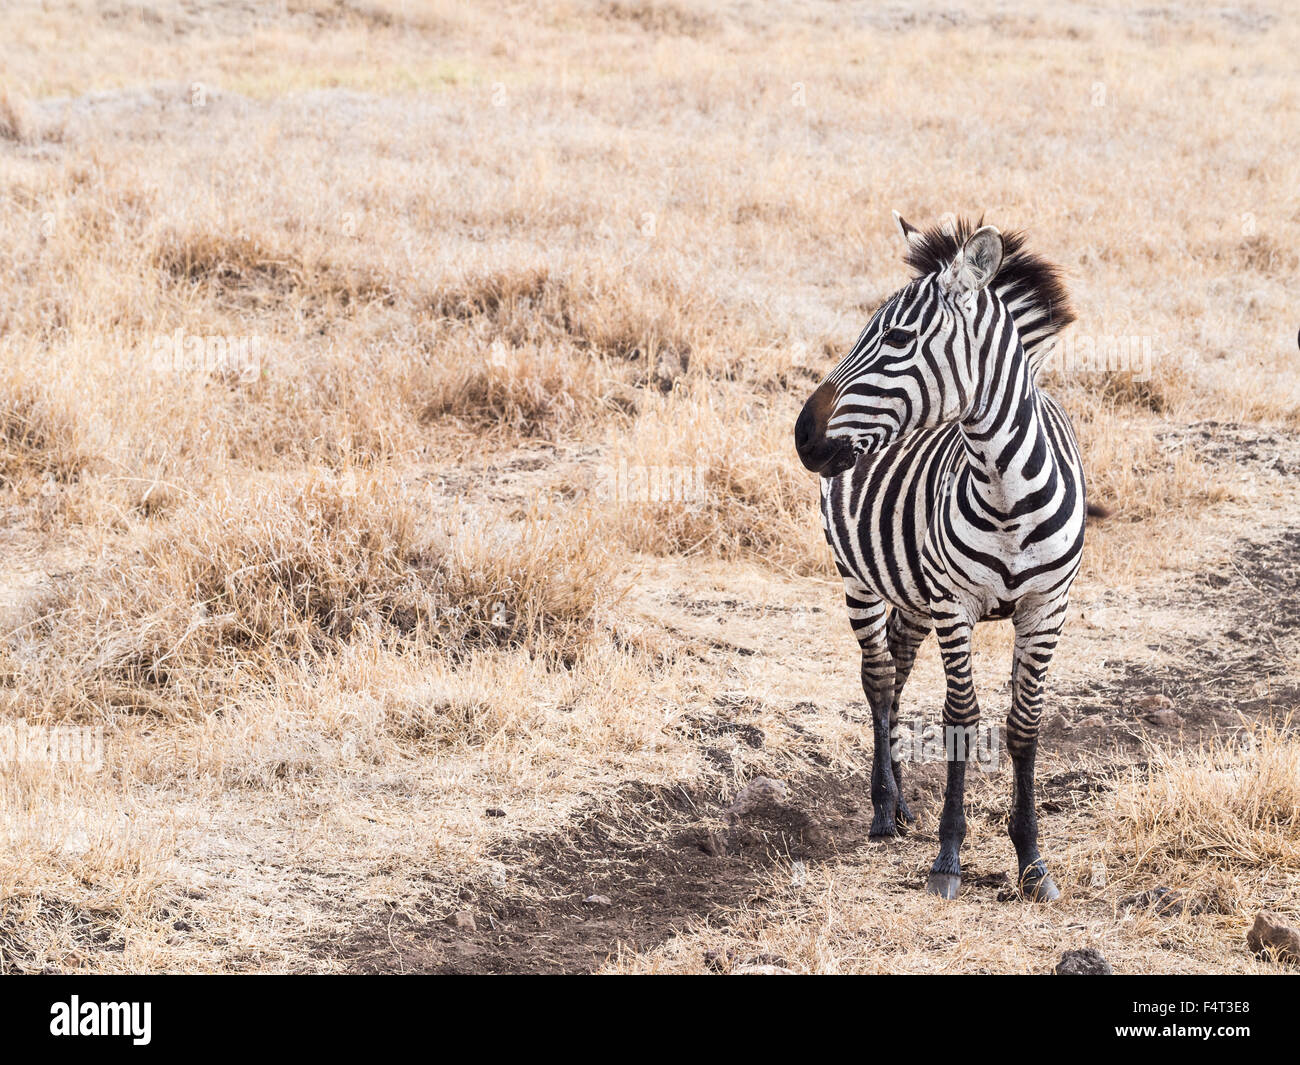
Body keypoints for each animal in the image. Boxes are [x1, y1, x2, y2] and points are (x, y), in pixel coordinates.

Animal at [790, 210, 1086, 899]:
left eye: (898, 337)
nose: (803, 435)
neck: (1006, 489)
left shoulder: (1046, 608)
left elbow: (1024, 725)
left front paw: (1032, 861)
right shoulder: (955, 604)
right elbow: (960, 719)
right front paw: (948, 857)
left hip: (912, 590)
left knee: (897, 668)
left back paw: (899, 802)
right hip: (859, 577)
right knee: (877, 678)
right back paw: (882, 808)